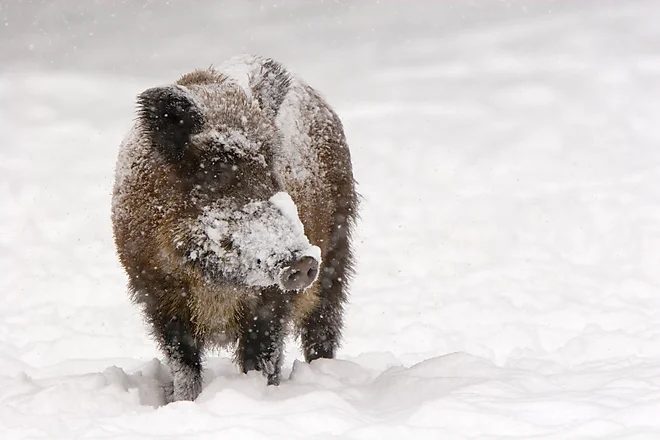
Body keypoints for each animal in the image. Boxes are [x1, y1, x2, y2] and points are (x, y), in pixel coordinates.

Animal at [111, 55, 358, 402]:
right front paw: (183, 403)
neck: (215, 281)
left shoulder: (271, 302)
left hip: (338, 249)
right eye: (217, 173)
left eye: (272, 168)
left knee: (323, 325)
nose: (303, 260)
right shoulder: (157, 295)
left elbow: (262, 358)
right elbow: (183, 363)